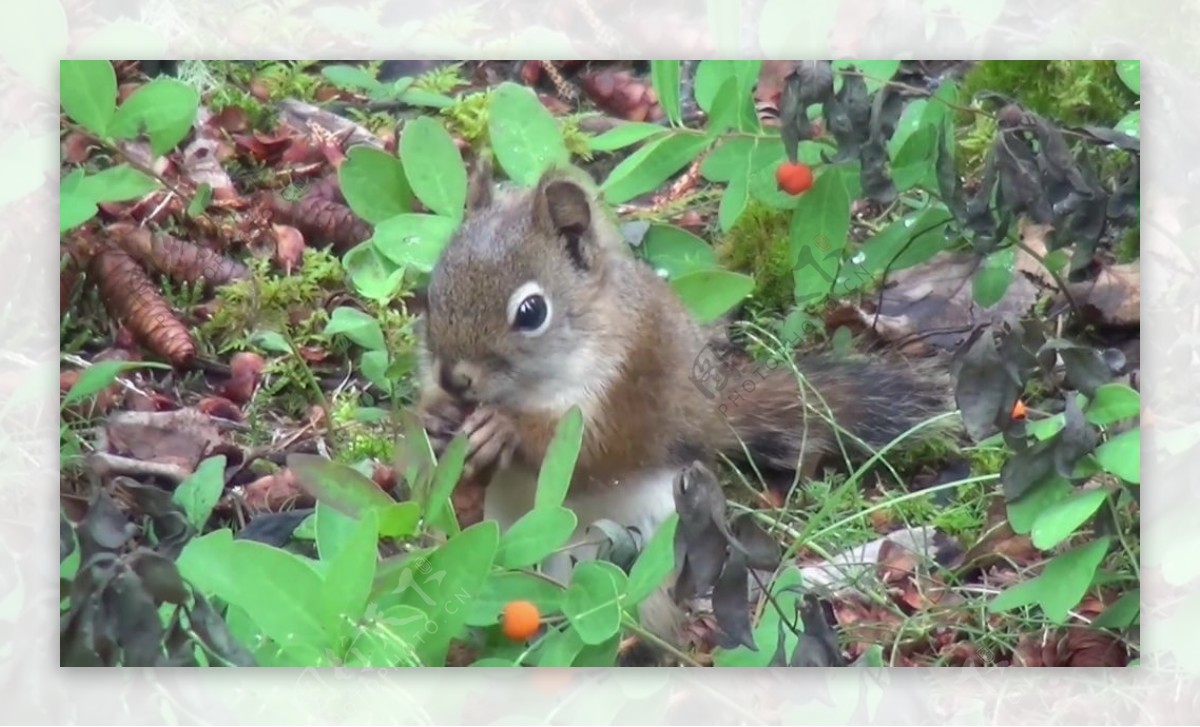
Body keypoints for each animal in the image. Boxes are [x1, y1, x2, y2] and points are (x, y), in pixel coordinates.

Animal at [412, 161, 955, 652]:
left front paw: (504, 428)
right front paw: (436, 416)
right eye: (432, 290)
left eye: (531, 312)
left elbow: (591, 452)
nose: (454, 379)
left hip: (662, 541)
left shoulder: (630, 384)